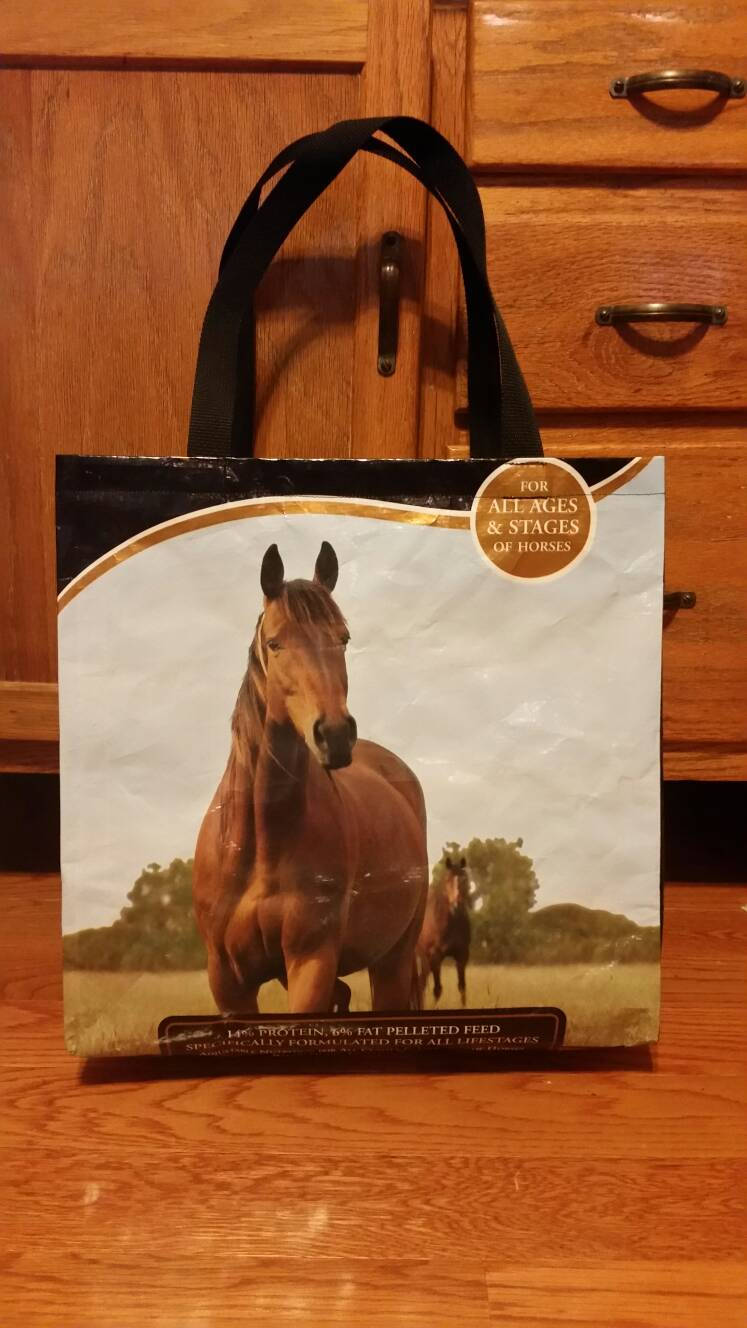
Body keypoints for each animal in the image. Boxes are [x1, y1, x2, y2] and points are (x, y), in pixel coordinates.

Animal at [192, 539, 428, 1016]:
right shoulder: (228, 981)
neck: (260, 846)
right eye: (275, 642)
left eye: (343, 638)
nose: (335, 735)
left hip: (393, 961)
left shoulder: (311, 962)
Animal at [418, 856, 472, 1006]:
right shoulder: (436, 956)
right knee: (420, 984)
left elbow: (462, 987)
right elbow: (437, 990)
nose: (456, 906)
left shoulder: (462, 955)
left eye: (464, 879)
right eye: (447, 880)